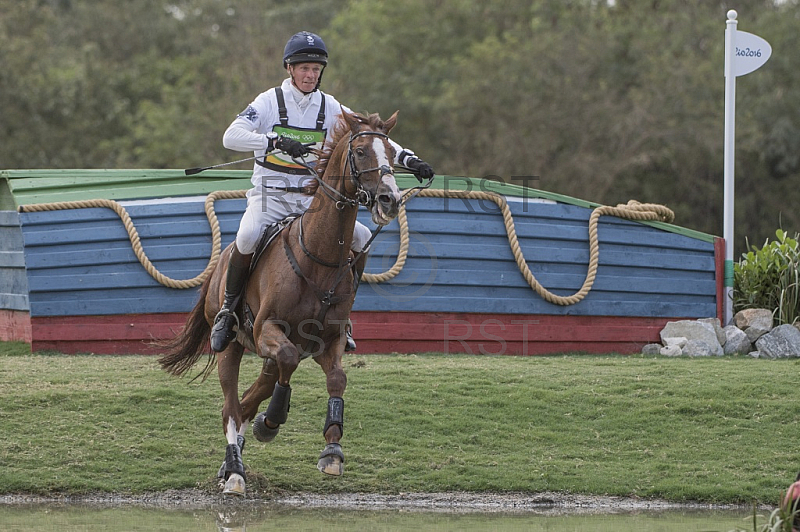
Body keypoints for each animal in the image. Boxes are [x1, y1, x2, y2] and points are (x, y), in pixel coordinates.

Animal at [159, 110, 404, 496]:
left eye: (392, 153)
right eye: (361, 151)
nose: (388, 200)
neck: (319, 258)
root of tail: (220, 262)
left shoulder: (328, 340)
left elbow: (338, 379)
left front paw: (332, 451)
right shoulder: (268, 331)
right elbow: (286, 362)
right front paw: (271, 421)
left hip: (266, 355)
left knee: (249, 398)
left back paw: (234, 457)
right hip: (233, 346)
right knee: (232, 407)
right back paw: (235, 472)